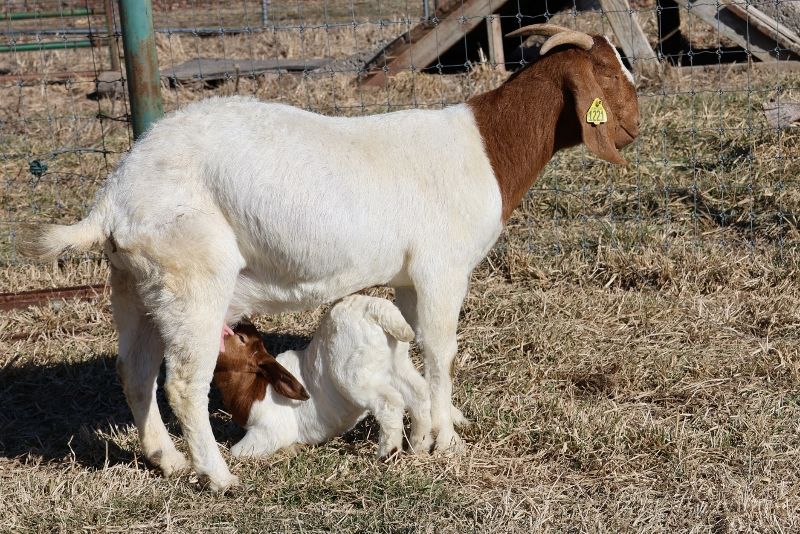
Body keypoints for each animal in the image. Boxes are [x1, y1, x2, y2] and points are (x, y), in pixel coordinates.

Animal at [212, 298, 432, 460]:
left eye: (240, 339)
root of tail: (375, 309)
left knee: (389, 402)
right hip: (396, 363)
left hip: (354, 374)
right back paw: (419, 445)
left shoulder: (270, 430)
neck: (253, 388)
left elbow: (236, 452)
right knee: (419, 393)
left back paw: (388, 453)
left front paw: (291, 449)